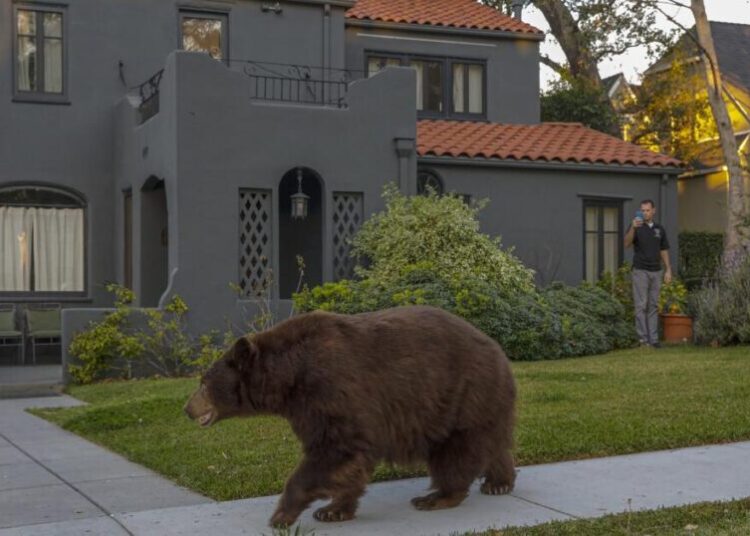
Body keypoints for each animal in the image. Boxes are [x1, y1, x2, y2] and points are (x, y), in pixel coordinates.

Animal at [184, 305, 516, 527]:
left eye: (203, 382)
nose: (187, 409)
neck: (289, 377)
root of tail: (498, 349)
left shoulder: (331, 390)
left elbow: (334, 450)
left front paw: (281, 515)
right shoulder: (308, 409)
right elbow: (348, 462)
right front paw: (332, 509)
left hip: (461, 394)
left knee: (457, 451)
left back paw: (436, 496)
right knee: (491, 442)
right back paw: (499, 482)